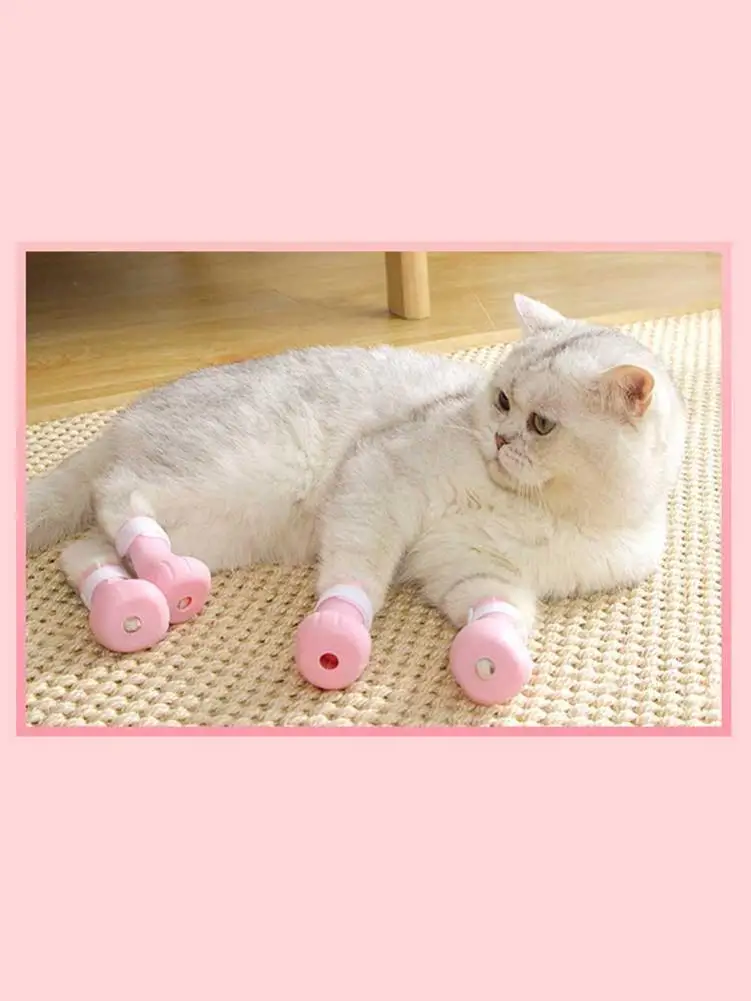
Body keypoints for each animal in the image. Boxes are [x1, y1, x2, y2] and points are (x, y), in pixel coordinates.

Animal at [26, 295, 686, 701]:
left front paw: (491, 655)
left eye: (542, 425)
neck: (543, 509)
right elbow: (357, 575)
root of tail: (126, 417)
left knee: (83, 552)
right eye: (502, 401)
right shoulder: (378, 479)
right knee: (115, 491)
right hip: (232, 475)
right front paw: (337, 632)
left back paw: (133, 596)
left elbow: (501, 614)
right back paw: (156, 566)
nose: (500, 439)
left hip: (217, 528)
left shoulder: (475, 570)